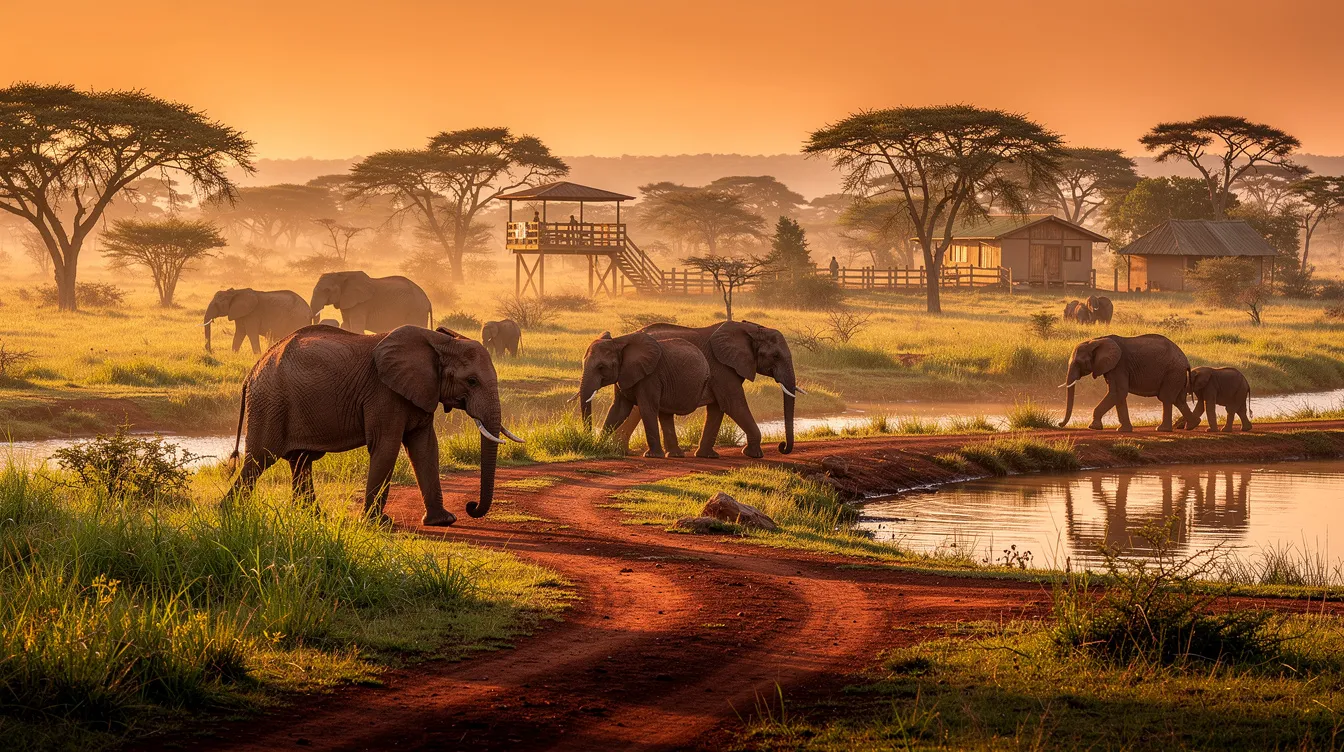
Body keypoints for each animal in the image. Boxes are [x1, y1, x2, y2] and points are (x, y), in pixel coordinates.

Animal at [223, 325, 521, 525]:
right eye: (471, 381)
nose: (471, 506)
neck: (440, 341)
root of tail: (251, 372)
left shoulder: (422, 391)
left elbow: (425, 448)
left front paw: (442, 521)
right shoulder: (384, 393)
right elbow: (387, 447)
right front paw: (378, 524)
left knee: (300, 461)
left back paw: (315, 518)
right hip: (270, 402)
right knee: (259, 461)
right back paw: (227, 513)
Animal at [578, 332, 711, 458]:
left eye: (601, 367)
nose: (588, 442)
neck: (618, 342)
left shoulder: (651, 376)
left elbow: (646, 408)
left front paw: (652, 456)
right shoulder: (623, 374)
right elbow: (618, 410)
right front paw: (598, 447)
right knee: (666, 414)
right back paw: (675, 455)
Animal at [615, 320, 801, 458]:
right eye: (775, 356)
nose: (782, 446)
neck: (753, 330)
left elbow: (717, 408)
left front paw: (707, 456)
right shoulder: (722, 368)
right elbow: (733, 404)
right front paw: (754, 455)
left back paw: (622, 450)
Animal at [1059, 334, 1199, 432]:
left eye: (1078, 363)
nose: (1060, 424)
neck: (1096, 340)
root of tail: (1186, 361)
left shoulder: (1119, 365)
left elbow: (1118, 392)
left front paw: (1093, 427)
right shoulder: (1112, 367)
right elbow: (1118, 394)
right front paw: (1122, 430)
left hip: (1173, 372)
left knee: (1166, 398)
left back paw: (1162, 429)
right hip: (1177, 375)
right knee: (1179, 400)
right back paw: (1192, 425)